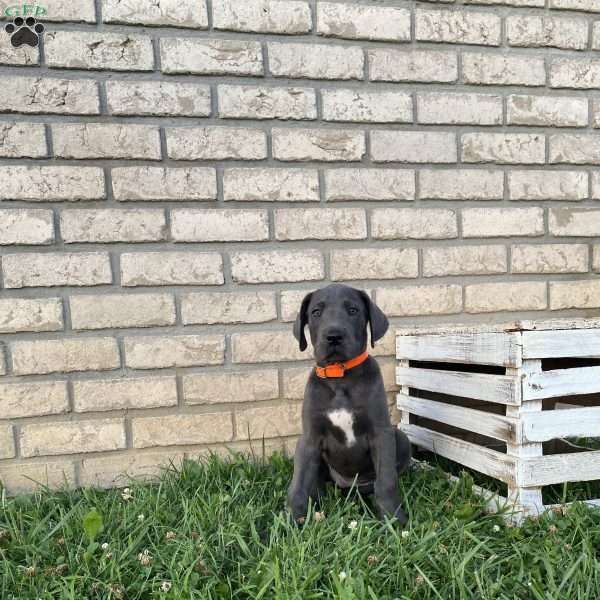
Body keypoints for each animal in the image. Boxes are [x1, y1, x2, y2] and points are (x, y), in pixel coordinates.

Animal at [288, 284, 410, 524]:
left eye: (353, 310)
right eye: (316, 312)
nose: (334, 336)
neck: (340, 376)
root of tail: (350, 488)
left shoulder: (381, 434)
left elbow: (387, 481)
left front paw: (393, 519)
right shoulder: (309, 438)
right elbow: (300, 482)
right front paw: (293, 521)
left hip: (399, 437)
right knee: (316, 483)